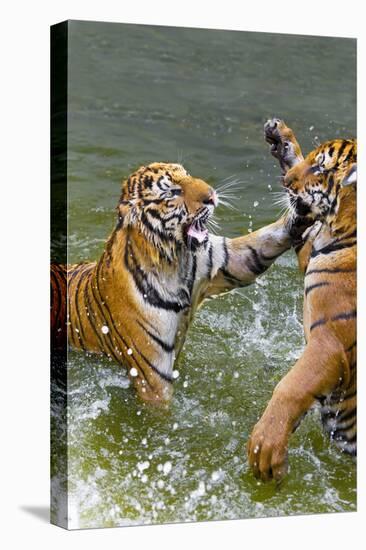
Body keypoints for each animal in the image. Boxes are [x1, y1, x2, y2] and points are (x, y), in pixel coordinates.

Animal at [51, 160, 308, 406]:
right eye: (174, 192)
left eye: (187, 175)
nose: (212, 196)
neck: (175, 260)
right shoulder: (153, 377)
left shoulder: (227, 261)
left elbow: (266, 239)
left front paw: (301, 213)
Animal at [247, 119, 356, 484]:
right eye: (313, 159)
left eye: (321, 168)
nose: (287, 182)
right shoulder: (311, 245)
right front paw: (282, 140)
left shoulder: (329, 342)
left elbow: (291, 386)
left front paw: (266, 449)